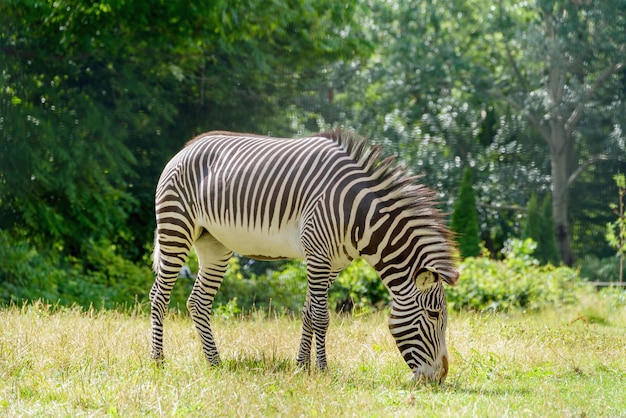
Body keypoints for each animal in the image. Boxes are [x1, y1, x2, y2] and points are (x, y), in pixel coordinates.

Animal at [149, 129, 456, 384]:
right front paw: (322, 369)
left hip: (214, 243)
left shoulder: (332, 263)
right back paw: (158, 361)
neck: (358, 215)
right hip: (176, 228)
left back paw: (215, 363)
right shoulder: (318, 254)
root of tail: (187, 146)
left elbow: (308, 311)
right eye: (434, 314)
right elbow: (321, 316)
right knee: (159, 295)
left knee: (198, 301)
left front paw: (301, 366)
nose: (439, 377)